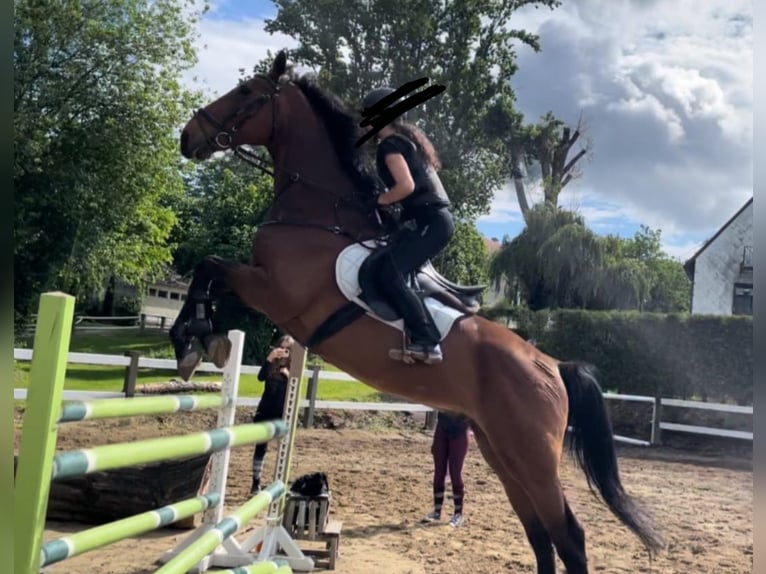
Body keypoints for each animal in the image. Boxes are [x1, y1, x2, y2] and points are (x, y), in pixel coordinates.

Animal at [171, 51, 664, 572]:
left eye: (246, 92)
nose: (188, 135)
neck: (320, 212)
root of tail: (552, 365)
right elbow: (209, 272)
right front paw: (199, 340)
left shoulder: (274, 290)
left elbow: (209, 266)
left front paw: (193, 339)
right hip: (502, 451)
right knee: (539, 534)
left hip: (531, 457)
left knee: (568, 535)